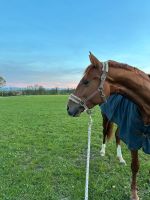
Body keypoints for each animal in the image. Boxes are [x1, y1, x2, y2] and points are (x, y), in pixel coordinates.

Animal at [67, 53, 150, 200]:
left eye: (86, 81)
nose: (69, 108)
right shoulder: (134, 139)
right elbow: (135, 166)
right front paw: (134, 194)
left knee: (116, 135)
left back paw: (120, 158)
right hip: (106, 117)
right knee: (105, 132)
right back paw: (103, 151)